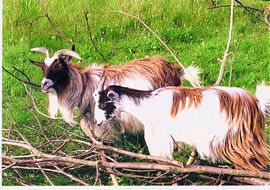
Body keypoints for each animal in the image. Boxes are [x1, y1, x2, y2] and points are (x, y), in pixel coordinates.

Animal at [94, 83, 270, 171]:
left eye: (102, 105)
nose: (97, 122)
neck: (146, 105)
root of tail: (255, 104)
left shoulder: (159, 135)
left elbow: (162, 156)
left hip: (232, 140)